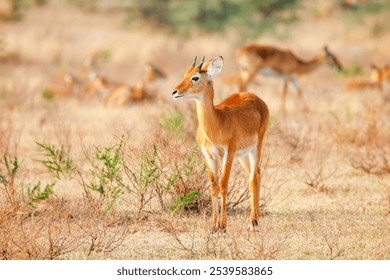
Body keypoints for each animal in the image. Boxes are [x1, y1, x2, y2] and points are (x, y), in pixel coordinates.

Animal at [171, 56, 268, 234]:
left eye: (195, 77)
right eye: (185, 74)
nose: (174, 92)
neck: (217, 122)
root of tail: (255, 97)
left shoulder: (228, 153)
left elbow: (223, 185)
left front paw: (223, 227)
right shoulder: (208, 155)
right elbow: (213, 187)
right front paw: (213, 227)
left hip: (256, 148)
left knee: (253, 178)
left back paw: (253, 222)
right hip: (243, 155)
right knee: (256, 174)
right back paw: (255, 220)